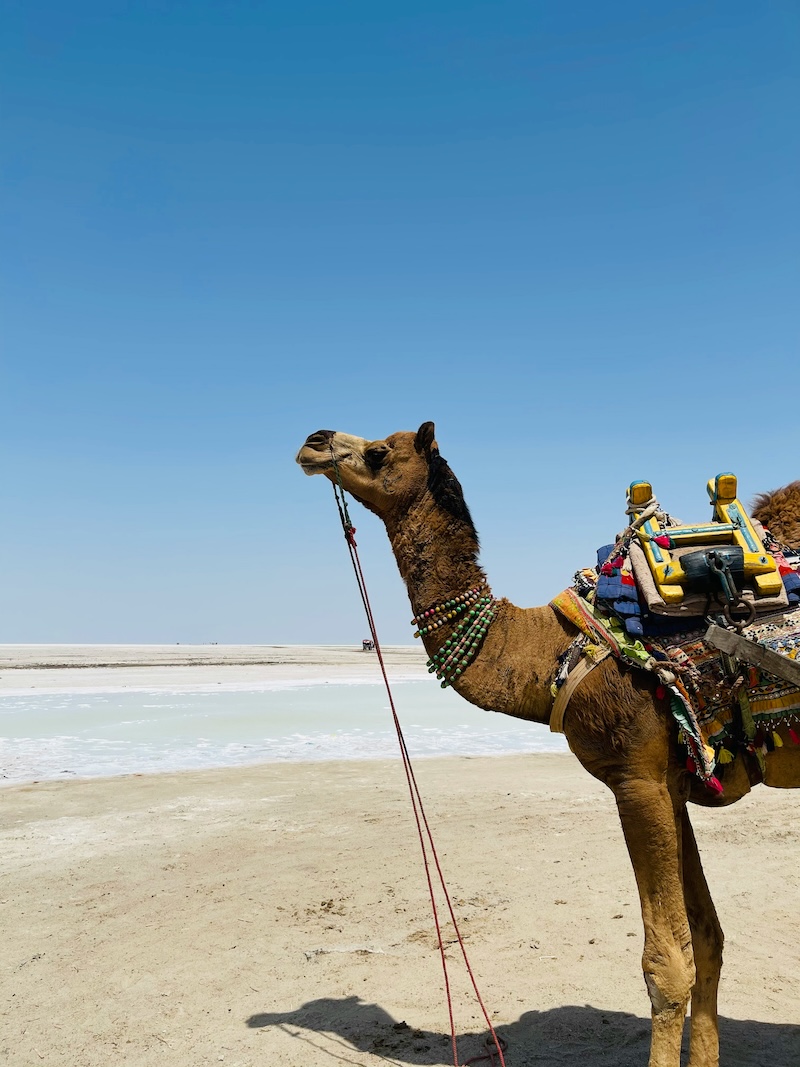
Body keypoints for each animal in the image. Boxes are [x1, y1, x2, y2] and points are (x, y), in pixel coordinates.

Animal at [296, 424, 800, 1067]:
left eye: (380, 450)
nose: (314, 442)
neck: (550, 653)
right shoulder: (672, 779)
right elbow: (705, 938)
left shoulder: (634, 777)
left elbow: (665, 965)